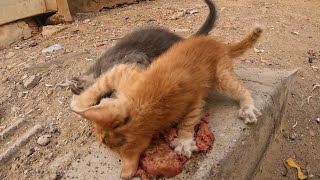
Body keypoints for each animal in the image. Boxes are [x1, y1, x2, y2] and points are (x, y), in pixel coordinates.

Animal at [70, 25, 262, 179]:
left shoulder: (194, 96)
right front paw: (81, 102)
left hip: (221, 75)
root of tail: (219, 44)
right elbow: (100, 85)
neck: (145, 106)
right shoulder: (124, 70)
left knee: (241, 89)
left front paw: (184, 140)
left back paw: (248, 107)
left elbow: (189, 119)